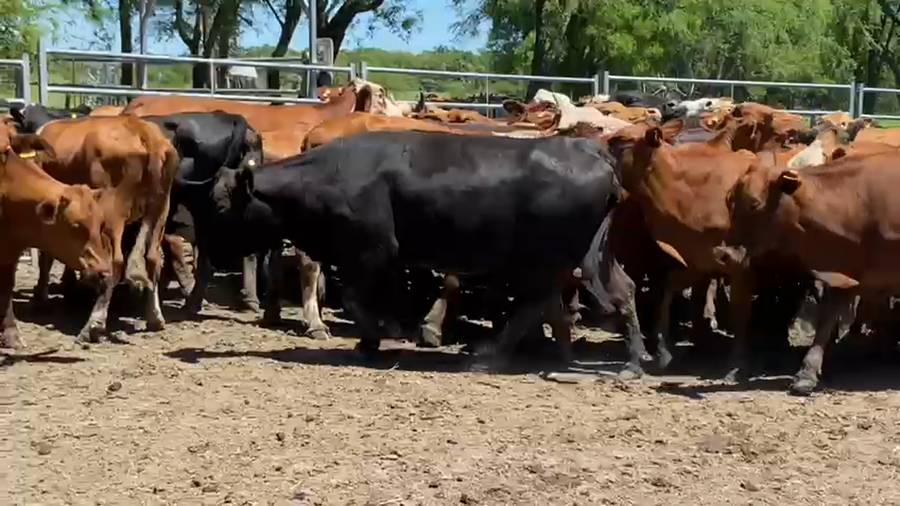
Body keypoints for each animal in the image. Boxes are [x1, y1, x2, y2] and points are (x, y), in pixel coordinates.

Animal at [1, 137, 112, 348]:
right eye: (76, 225)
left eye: (101, 224)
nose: (103, 271)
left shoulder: (11, 251)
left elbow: (6, 288)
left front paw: (11, 335)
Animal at [194, 130, 628, 368]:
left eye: (221, 206)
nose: (208, 250)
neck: (330, 175)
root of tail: (591, 150)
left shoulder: (371, 252)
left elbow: (357, 300)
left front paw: (377, 337)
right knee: (548, 305)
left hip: (542, 262)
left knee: (535, 306)